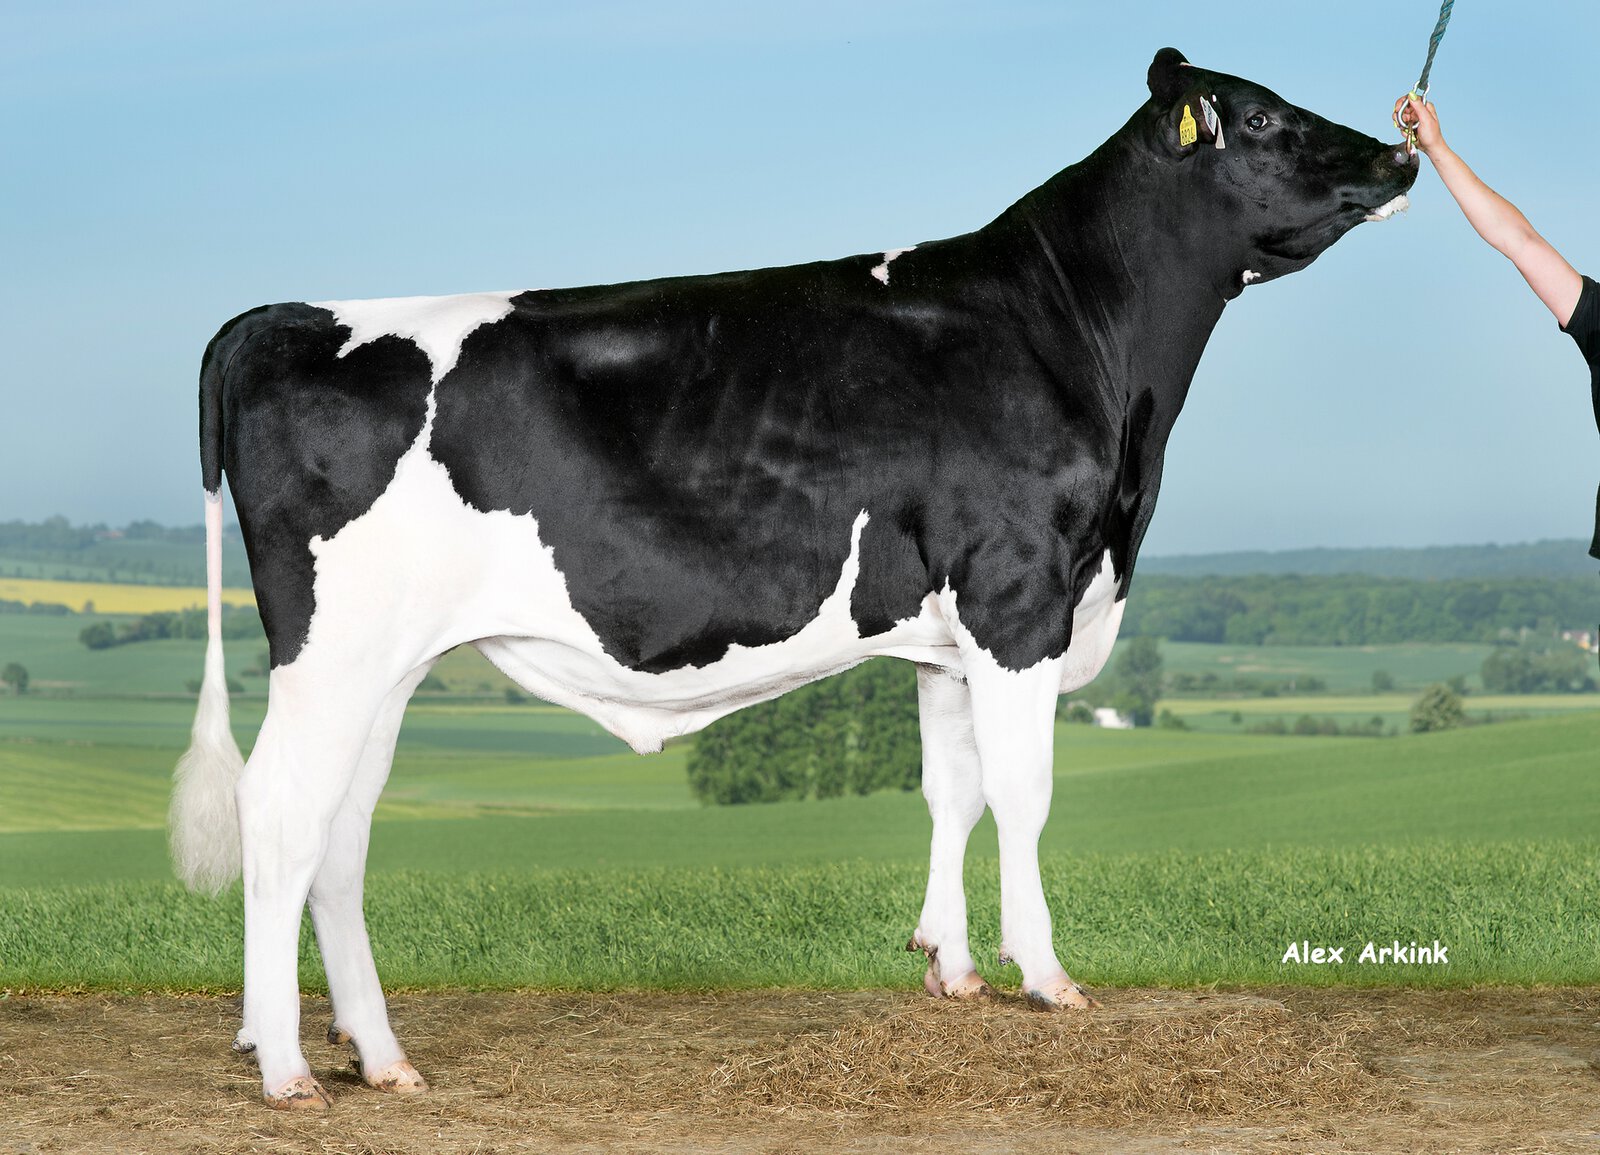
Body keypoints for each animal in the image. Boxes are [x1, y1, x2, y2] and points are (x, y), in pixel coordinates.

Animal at [171, 48, 1416, 1109]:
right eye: (1263, 118)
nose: (1401, 153)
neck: (1081, 346)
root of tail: (285, 316)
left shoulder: (947, 634)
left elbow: (953, 790)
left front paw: (951, 968)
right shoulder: (1019, 597)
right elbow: (1023, 794)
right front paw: (1046, 977)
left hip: (384, 663)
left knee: (338, 834)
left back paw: (380, 1059)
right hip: (331, 650)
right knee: (279, 813)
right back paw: (285, 1067)